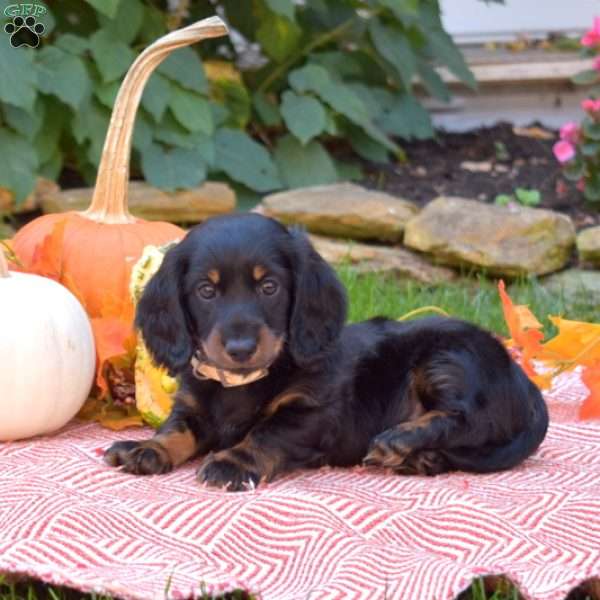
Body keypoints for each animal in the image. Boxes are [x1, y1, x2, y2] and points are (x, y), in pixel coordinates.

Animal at [104, 213, 548, 490]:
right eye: (206, 291)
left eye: (269, 287)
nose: (241, 349)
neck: (245, 382)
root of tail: (523, 381)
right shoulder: (192, 406)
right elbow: (175, 429)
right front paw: (147, 448)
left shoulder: (309, 412)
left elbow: (267, 433)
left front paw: (235, 462)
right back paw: (421, 459)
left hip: (448, 357)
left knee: (466, 418)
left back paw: (400, 440)